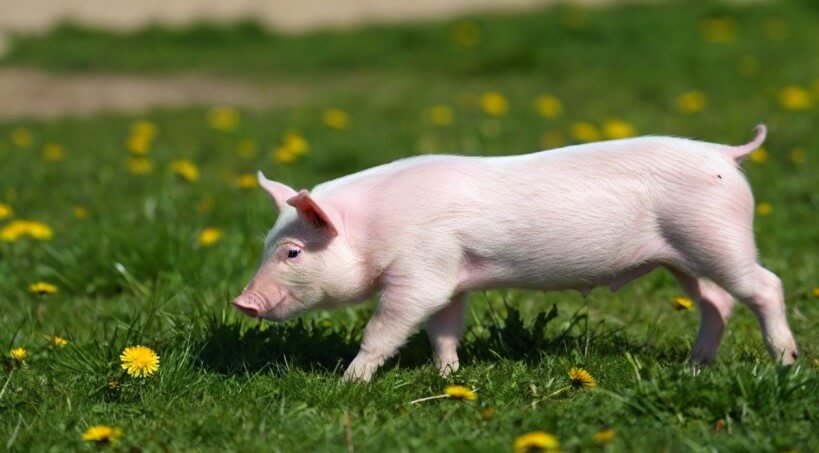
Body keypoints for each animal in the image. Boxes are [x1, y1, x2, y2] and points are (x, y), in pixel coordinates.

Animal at [233, 124, 798, 382]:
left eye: (292, 253)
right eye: (268, 246)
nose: (242, 301)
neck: (374, 229)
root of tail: (726, 153)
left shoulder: (421, 272)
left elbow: (385, 327)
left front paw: (350, 381)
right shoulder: (451, 279)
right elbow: (443, 329)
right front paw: (449, 376)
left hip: (717, 236)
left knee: (765, 285)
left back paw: (787, 364)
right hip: (681, 257)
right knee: (717, 302)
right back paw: (695, 367)